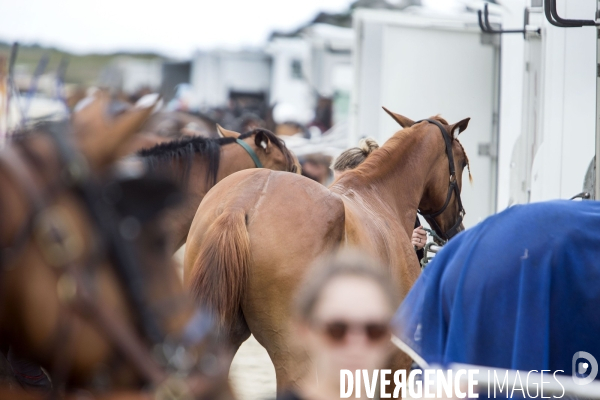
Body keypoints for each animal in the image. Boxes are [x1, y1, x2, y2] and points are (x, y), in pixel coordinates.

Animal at [185, 111, 472, 392]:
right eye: (463, 162)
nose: (457, 225)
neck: (379, 196)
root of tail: (241, 202)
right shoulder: (392, 364)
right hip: (295, 358)